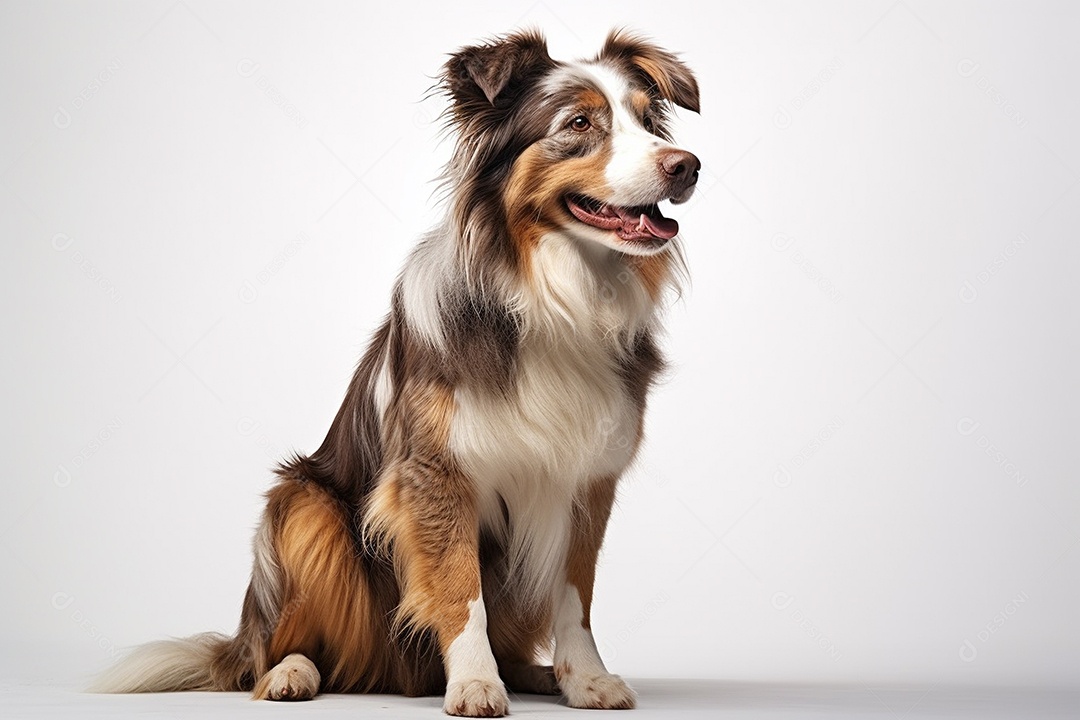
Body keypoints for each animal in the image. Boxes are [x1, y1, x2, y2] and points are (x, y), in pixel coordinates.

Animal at [90, 28, 699, 716]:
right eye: (578, 124)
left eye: (649, 121)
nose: (687, 165)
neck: (551, 297)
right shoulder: (434, 472)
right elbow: (460, 589)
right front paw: (475, 683)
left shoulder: (588, 479)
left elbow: (576, 595)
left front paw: (586, 679)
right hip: (303, 508)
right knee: (284, 642)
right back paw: (292, 674)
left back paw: (533, 673)